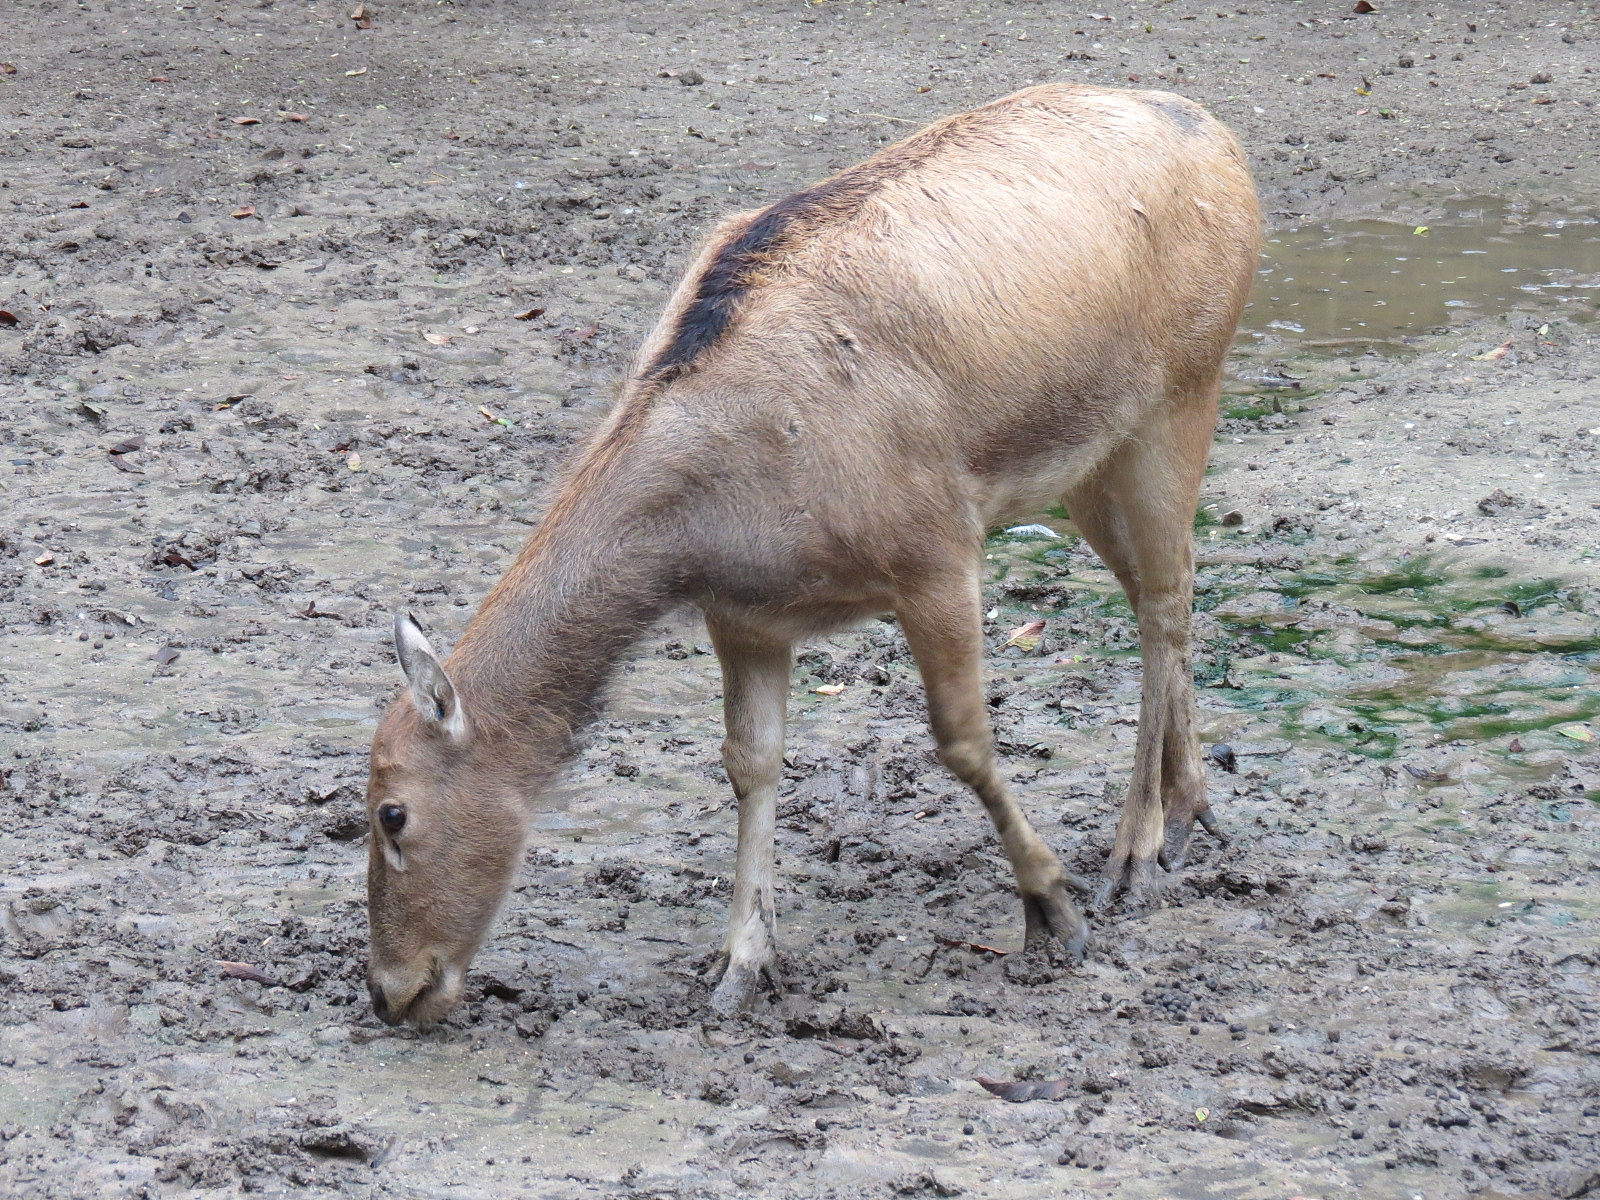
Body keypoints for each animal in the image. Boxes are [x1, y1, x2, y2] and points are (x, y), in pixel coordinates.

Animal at [363, 84, 1261, 1026]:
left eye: (391, 814)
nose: (390, 991)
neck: (713, 524)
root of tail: (1219, 137)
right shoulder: (747, 616)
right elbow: (750, 762)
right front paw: (739, 965)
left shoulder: (936, 548)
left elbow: (963, 740)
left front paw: (1053, 908)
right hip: (1090, 459)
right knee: (1160, 589)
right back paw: (1190, 812)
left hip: (1183, 392)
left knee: (1166, 597)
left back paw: (1136, 854)